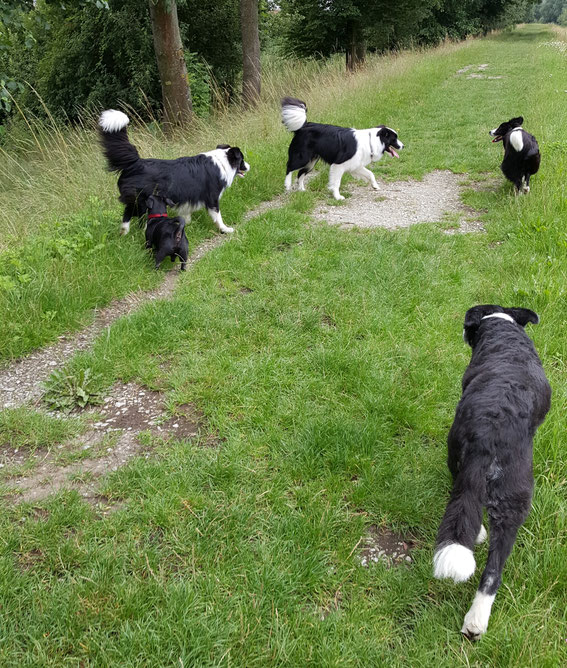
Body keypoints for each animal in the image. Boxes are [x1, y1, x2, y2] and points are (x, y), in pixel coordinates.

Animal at [98, 109, 250, 235]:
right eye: (242, 160)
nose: (249, 167)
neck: (223, 162)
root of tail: (136, 163)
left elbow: (186, 213)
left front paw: (186, 224)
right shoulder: (212, 197)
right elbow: (218, 216)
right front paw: (225, 229)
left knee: (127, 213)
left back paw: (124, 233)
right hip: (142, 200)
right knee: (137, 217)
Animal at [434, 306, 552, 640]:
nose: (461, 331)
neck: (502, 329)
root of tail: (489, 431)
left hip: (460, 460)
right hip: (516, 498)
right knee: (494, 568)